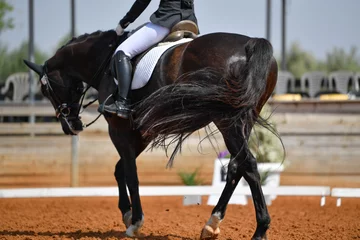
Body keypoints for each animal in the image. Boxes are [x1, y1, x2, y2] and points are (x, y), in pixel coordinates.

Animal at [24, 27, 278, 238]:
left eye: (45, 90)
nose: (71, 126)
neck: (105, 63)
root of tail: (250, 43)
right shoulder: (142, 132)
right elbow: (120, 170)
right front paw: (127, 215)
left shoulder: (120, 130)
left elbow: (131, 174)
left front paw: (135, 222)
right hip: (242, 119)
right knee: (238, 165)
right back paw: (214, 224)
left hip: (227, 120)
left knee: (248, 163)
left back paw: (258, 229)